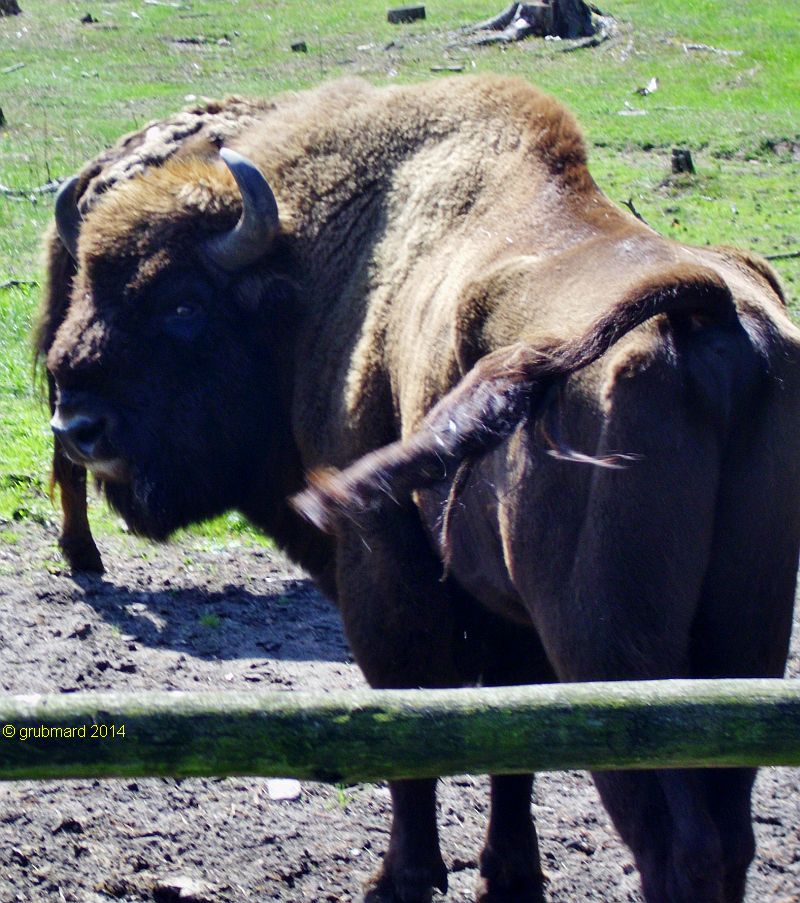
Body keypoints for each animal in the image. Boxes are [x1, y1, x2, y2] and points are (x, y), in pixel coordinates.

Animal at [39, 77, 800, 903]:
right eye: (86, 285)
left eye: (182, 303)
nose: (76, 423)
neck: (311, 277)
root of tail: (704, 305)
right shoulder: (507, 616)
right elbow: (510, 741)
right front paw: (506, 875)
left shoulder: (381, 569)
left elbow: (407, 715)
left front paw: (400, 876)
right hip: (744, 634)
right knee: (729, 827)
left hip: (610, 642)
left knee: (674, 841)